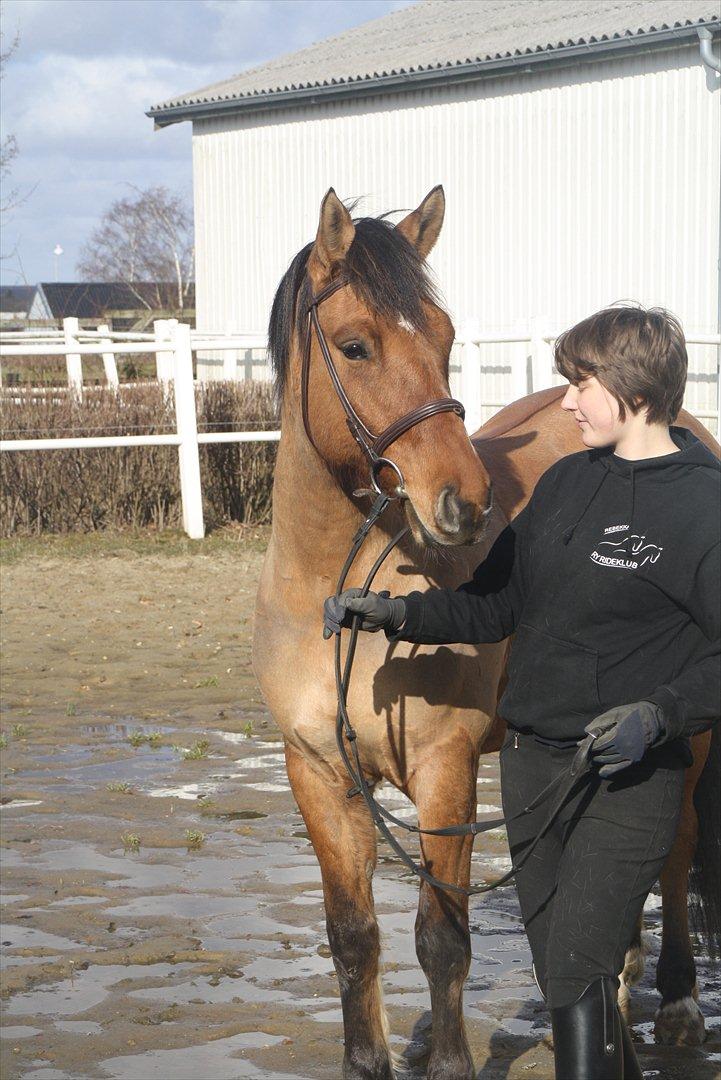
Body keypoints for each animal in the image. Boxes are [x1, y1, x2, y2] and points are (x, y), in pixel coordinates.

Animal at [250, 187, 716, 1080]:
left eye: (443, 336)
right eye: (355, 345)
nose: (462, 503)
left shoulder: (444, 770)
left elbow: (441, 940)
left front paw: (450, 1063)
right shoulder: (318, 773)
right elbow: (352, 939)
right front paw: (369, 1061)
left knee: (674, 854)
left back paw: (674, 1000)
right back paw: (620, 977)